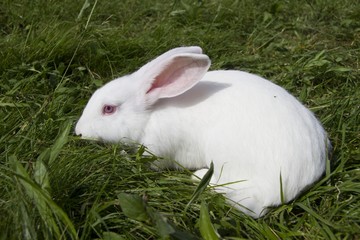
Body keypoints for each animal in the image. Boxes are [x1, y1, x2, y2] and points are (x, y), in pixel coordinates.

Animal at [76, 46, 330, 218]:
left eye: (109, 109)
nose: (78, 132)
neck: (151, 113)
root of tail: (293, 182)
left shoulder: (158, 150)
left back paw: (198, 176)